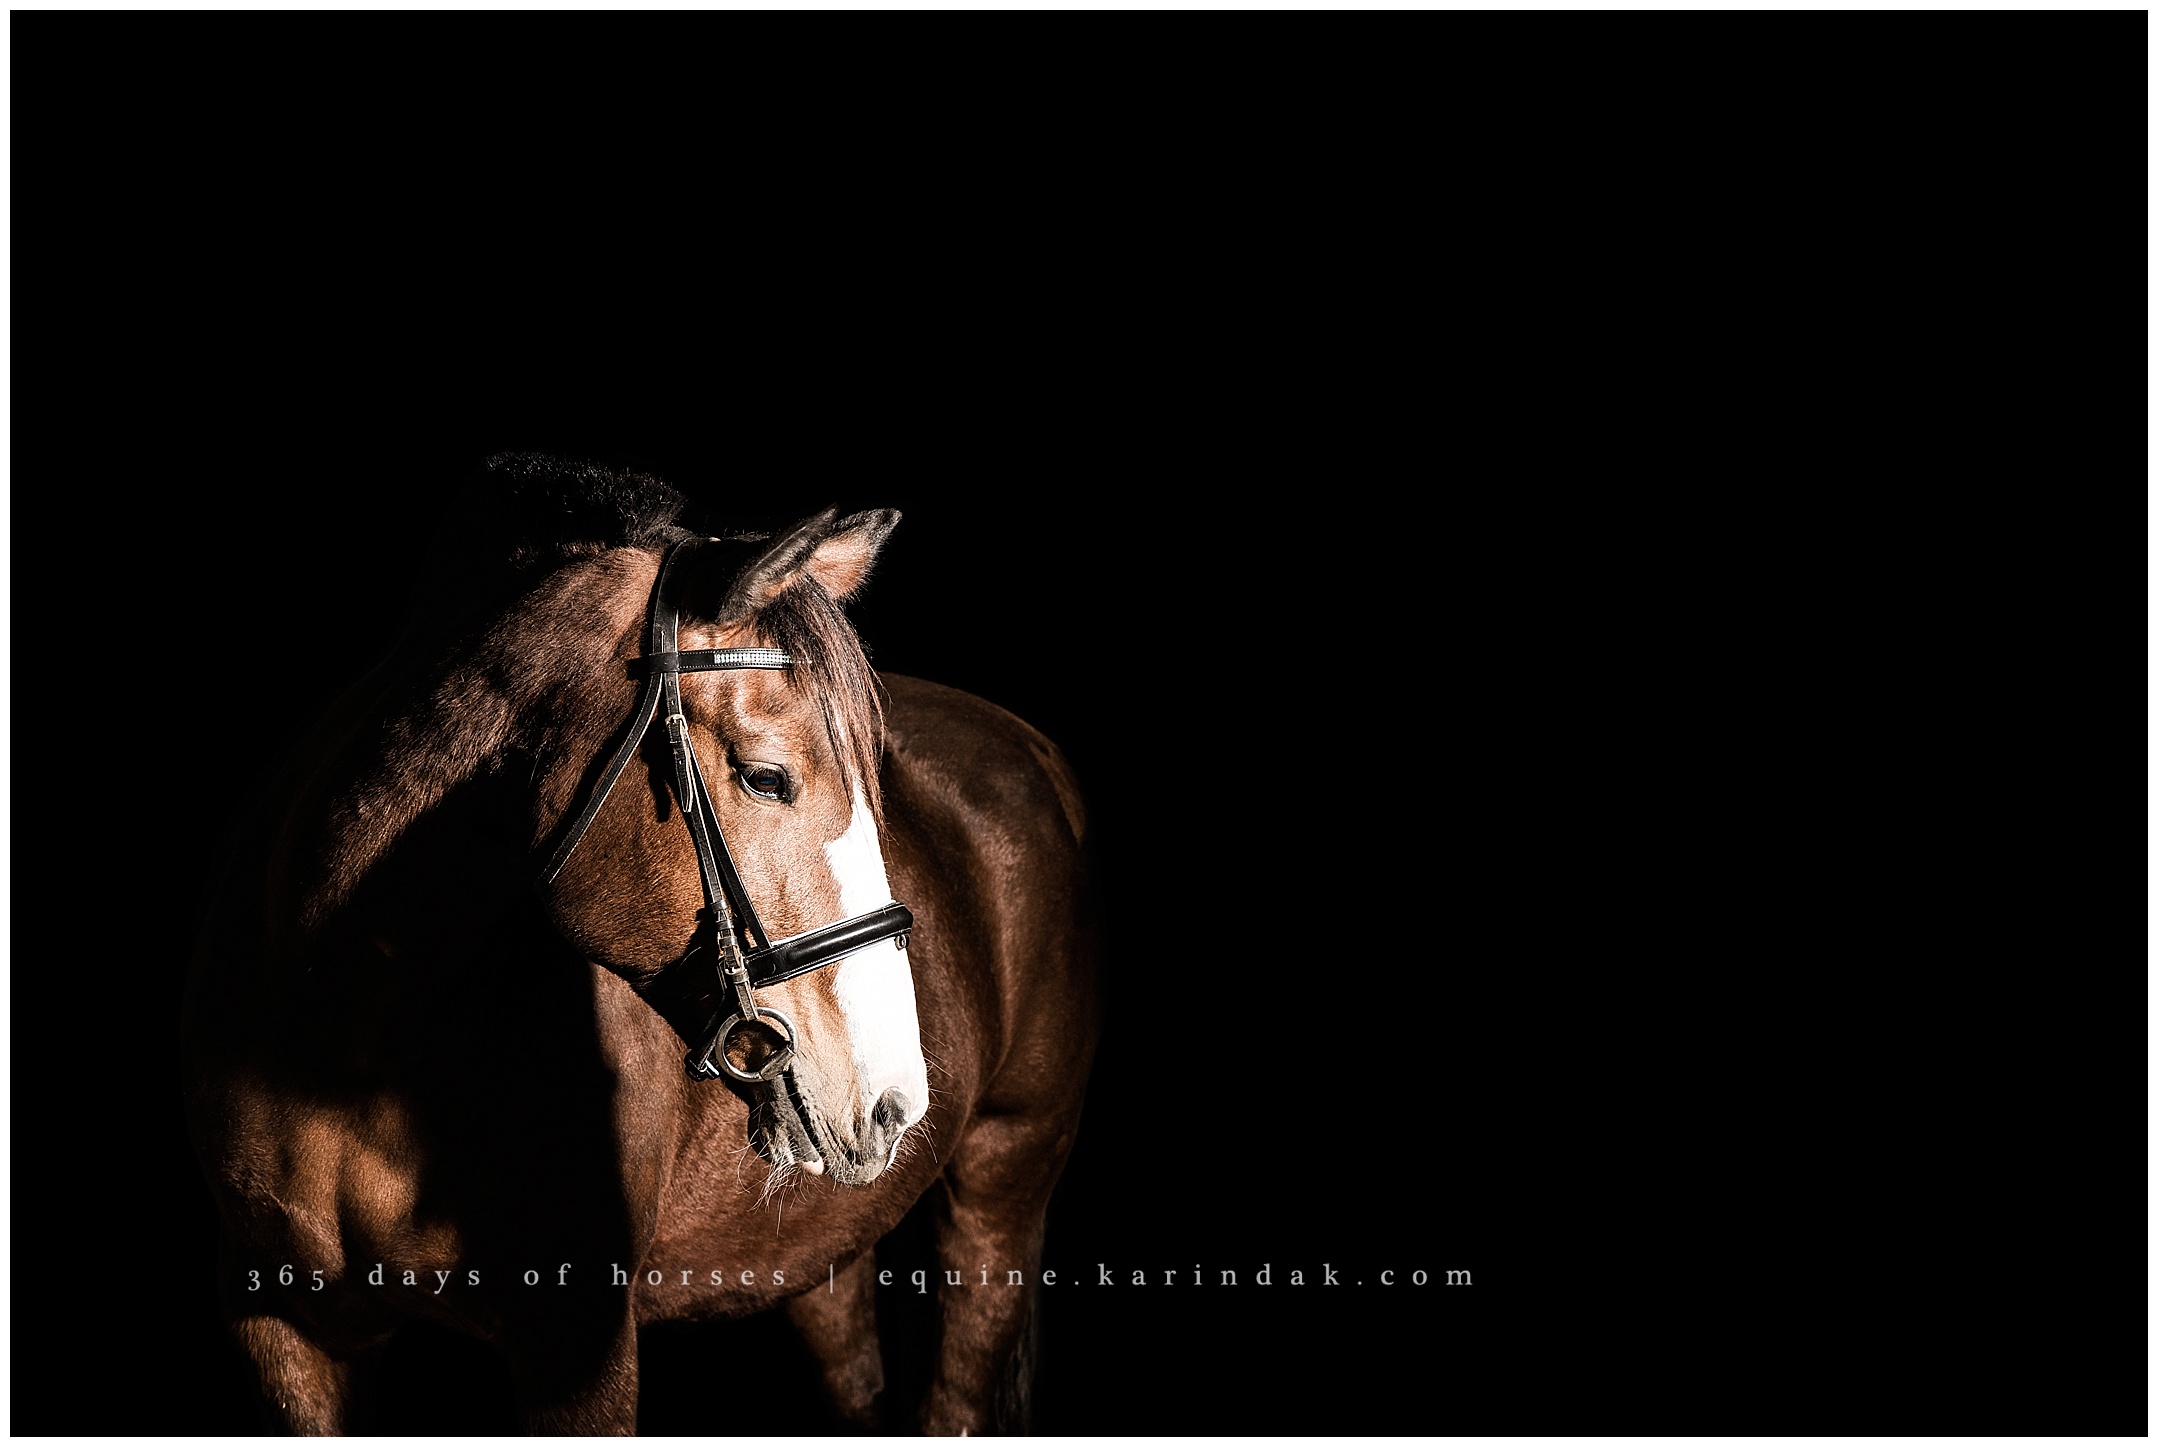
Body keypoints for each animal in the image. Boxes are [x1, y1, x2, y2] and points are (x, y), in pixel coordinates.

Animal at [181, 455, 1101, 1434]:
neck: (346, 1035)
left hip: (1000, 1191)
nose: (896, 1099)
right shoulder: (286, 1332)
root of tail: (1031, 746)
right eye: (766, 777)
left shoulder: (580, 1351)